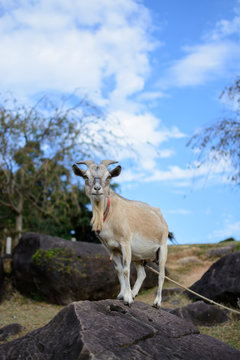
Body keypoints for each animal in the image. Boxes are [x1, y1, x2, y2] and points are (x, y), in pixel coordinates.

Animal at [71, 160, 171, 306]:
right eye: (85, 176)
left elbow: (125, 269)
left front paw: (128, 299)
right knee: (142, 274)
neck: (108, 215)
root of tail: (161, 217)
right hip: (139, 256)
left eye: (108, 176)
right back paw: (135, 293)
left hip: (162, 248)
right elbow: (118, 270)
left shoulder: (125, 243)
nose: (97, 189)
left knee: (161, 274)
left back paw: (157, 302)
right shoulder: (111, 248)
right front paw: (122, 295)